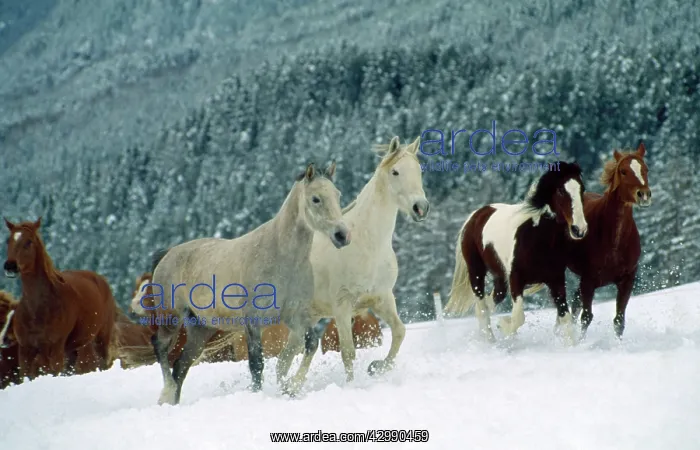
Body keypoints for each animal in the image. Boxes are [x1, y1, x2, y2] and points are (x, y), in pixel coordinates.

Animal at [3, 217, 118, 379]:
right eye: (9, 240)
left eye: (29, 241)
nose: (10, 266)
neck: (38, 310)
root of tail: (100, 279)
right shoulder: (26, 349)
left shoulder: (55, 348)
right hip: (74, 348)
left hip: (101, 339)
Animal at [150, 162, 350, 405]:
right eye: (316, 199)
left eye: (337, 195)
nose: (342, 235)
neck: (281, 258)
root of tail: (167, 255)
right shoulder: (253, 322)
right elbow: (257, 365)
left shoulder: (294, 316)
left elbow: (311, 344)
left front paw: (291, 388)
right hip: (170, 317)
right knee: (160, 347)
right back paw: (167, 392)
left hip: (200, 329)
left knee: (181, 365)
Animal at [275, 136, 430, 395]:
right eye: (395, 172)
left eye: (419, 170)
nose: (421, 207)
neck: (368, 243)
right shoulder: (342, 306)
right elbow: (348, 352)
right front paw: (352, 386)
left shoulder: (382, 299)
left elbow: (399, 332)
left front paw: (376, 367)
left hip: (307, 319)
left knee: (285, 360)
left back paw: (289, 387)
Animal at [443, 161, 588, 344]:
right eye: (561, 190)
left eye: (582, 189)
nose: (579, 229)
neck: (537, 238)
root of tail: (475, 216)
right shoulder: (516, 280)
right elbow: (519, 317)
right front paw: (503, 327)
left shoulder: (556, 281)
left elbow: (566, 318)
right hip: (476, 272)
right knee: (482, 307)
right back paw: (490, 340)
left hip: (500, 279)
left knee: (487, 304)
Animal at [567, 141, 651, 339]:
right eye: (623, 171)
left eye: (645, 169)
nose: (644, 195)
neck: (615, 240)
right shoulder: (589, 279)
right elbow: (586, 317)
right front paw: (580, 343)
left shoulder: (627, 279)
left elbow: (619, 320)